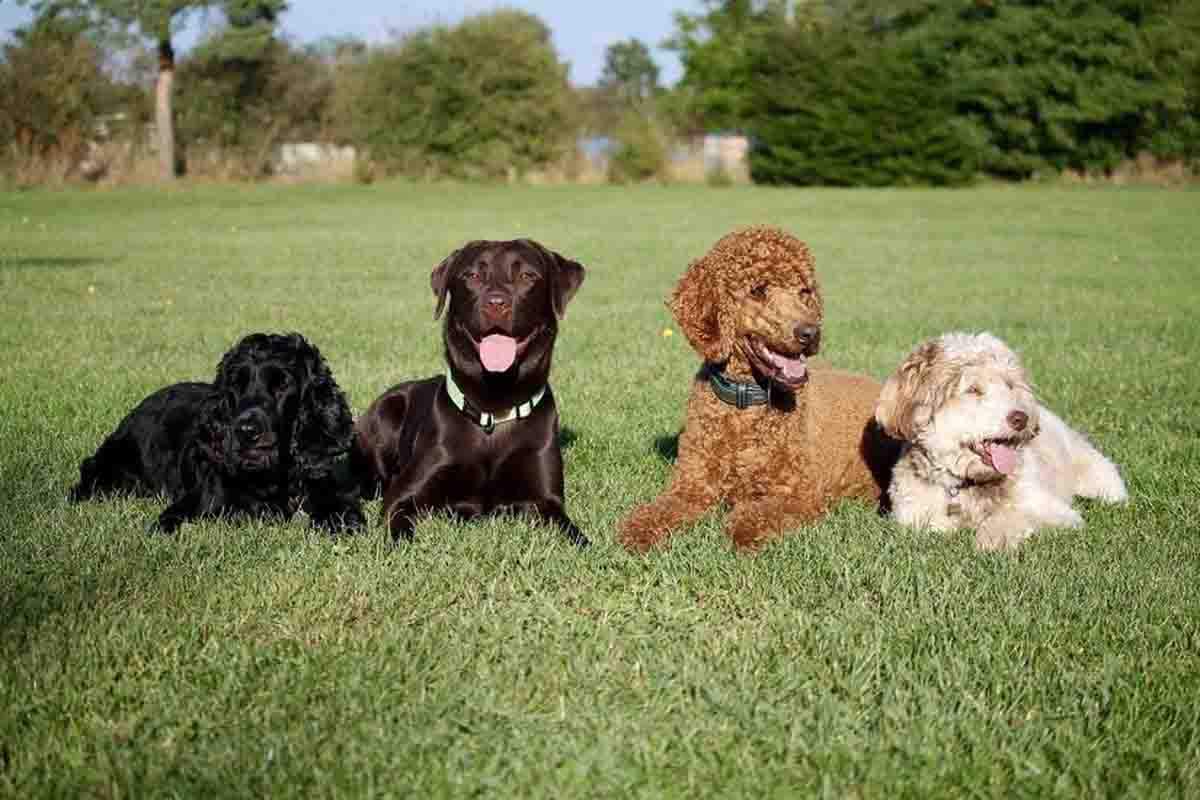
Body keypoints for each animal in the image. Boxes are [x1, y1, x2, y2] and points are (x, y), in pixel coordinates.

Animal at [350, 241, 585, 546]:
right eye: (472, 276)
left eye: (527, 276)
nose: (496, 303)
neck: (494, 407)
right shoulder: (402, 495)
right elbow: (400, 528)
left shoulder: (548, 502)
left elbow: (575, 536)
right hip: (387, 412)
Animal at [873, 333, 1123, 551]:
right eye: (973, 389)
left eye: (1010, 385)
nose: (1021, 418)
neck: (969, 484)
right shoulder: (911, 512)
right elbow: (930, 525)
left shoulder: (1054, 510)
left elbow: (1013, 515)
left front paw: (993, 538)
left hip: (1100, 479)